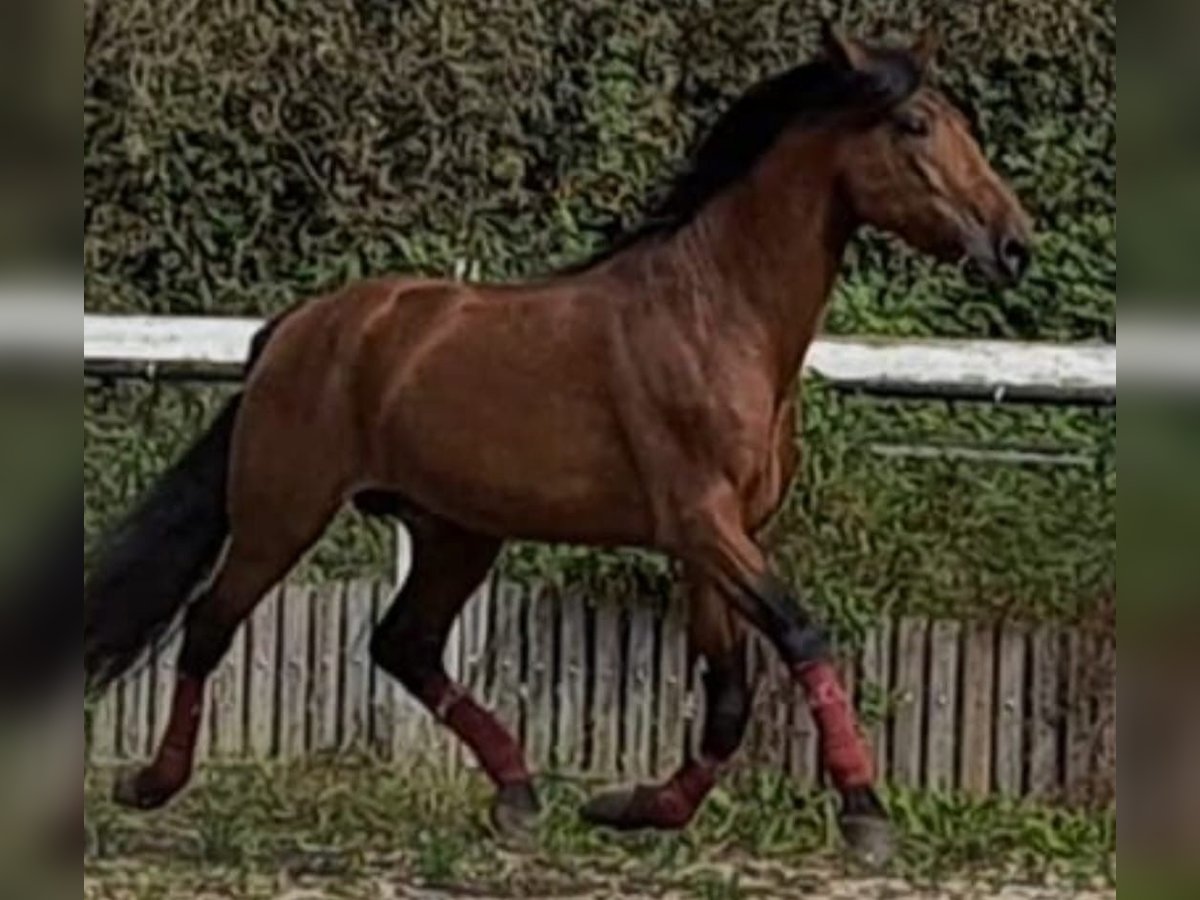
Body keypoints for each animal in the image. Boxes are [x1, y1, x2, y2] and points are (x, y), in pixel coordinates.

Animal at [84, 24, 1032, 864]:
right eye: (915, 125)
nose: (1014, 245)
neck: (718, 313)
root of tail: (295, 328)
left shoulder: (714, 542)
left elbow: (727, 695)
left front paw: (634, 808)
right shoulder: (703, 524)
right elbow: (800, 635)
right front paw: (867, 814)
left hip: (454, 532)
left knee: (403, 644)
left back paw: (518, 795)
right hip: (283, 513)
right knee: (210, 624)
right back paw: (150, 783)